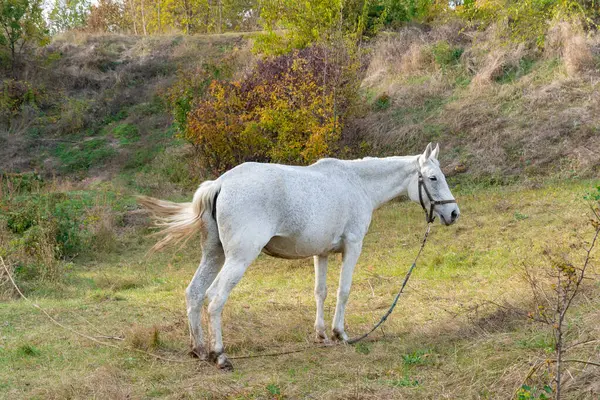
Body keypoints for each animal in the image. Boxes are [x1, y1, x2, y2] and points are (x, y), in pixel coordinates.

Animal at [141, 142, 460, 370]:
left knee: (194, 294)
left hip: (213, 255)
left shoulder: (322, 253)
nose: (454, 213)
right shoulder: (353, 247)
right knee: (215, 299)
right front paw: (339, 334)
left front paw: (321, 335)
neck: (357, 183)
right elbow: (343, 291)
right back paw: (220, 356)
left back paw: (199, 350)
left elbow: (320, 292)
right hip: (238, 260)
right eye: (433, 177)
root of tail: (219, 183)